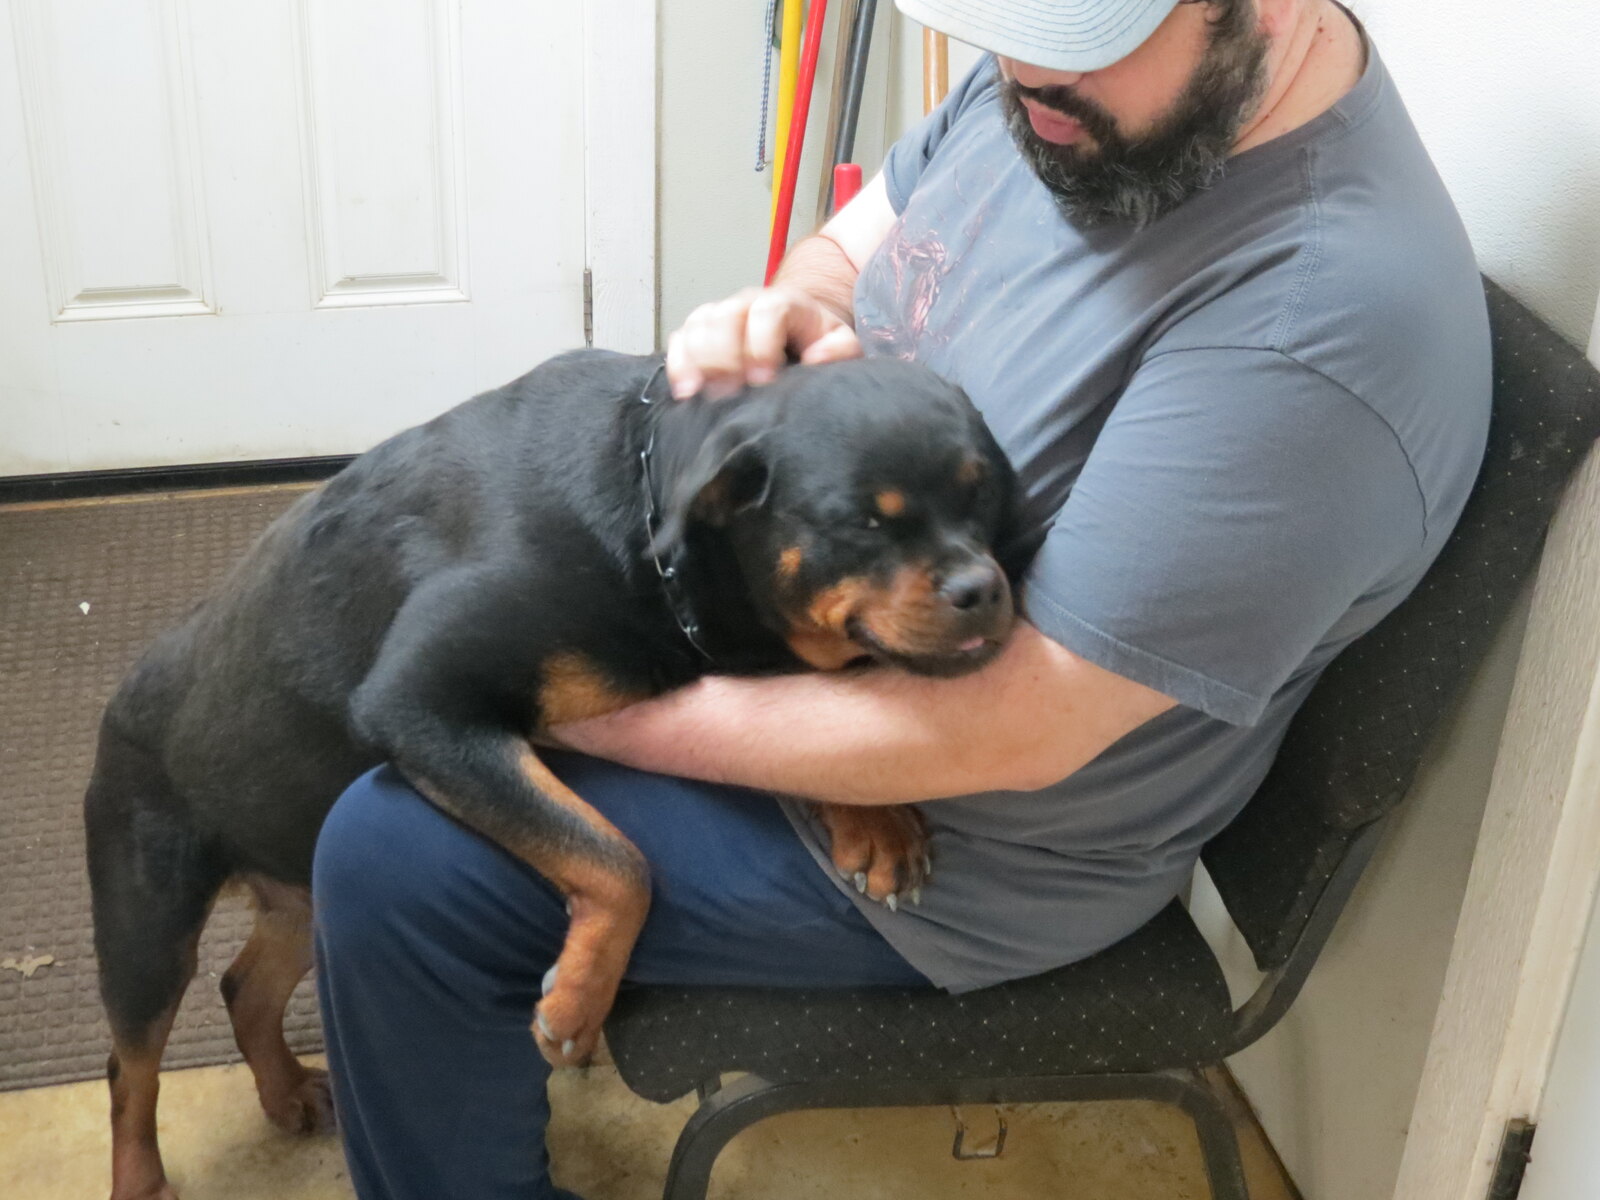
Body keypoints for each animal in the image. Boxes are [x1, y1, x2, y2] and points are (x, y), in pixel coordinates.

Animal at [83, 350, 1020, 1200]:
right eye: (864, 522)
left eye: (983, 497)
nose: (986, 587)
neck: (648, 510)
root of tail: (118, 703)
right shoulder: (416, 702)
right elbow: (619, 859)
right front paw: (577, 1003)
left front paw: (877, 821)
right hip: (147, 917)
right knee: (131, 1067)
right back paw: (140, 1179)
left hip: (298, 881)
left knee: (243, 989)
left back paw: (283, 1090)